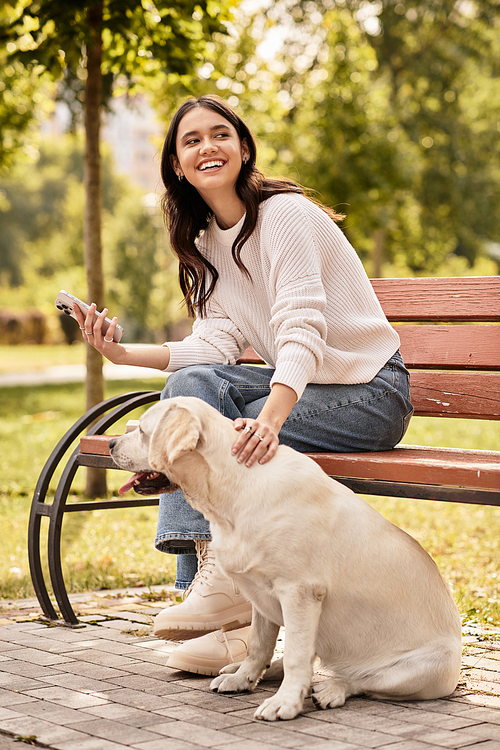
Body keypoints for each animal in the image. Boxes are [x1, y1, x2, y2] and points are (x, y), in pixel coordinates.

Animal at [109, 400, 460, 724]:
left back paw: (331, 690)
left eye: (143, 431)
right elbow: (258, 645)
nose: (110, 444)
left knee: (358, 681)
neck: (230, 491)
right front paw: (243, 679)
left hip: (424, 669)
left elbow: (295, 655)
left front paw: (286, 702)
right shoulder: (260, 594)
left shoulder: (300, 594)